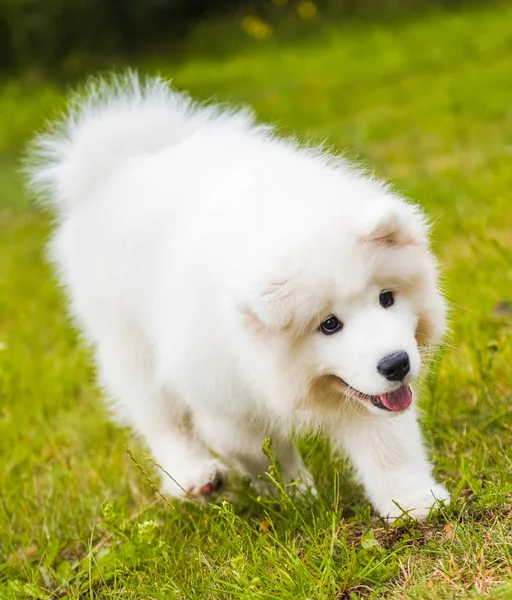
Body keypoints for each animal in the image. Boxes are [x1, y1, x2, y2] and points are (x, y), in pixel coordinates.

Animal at [28, 72, 448, 516]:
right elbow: (257, 448)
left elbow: (388, 444)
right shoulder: (221, 394)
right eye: (329, 325)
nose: (396, 364)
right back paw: (194, 475)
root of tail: (124, 159)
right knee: (159, 416)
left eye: (387, 298)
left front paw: (414, 502)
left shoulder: (368, 392)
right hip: (126, 338)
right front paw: (293, 492)